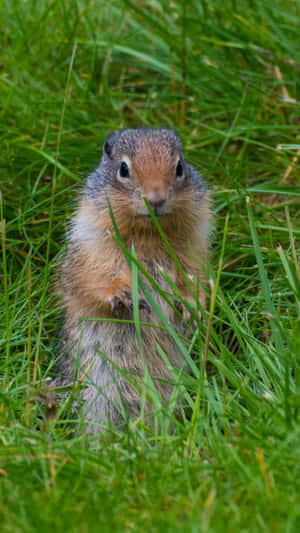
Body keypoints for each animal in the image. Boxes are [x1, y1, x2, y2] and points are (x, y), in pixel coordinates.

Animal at [56, 128, 211, 432]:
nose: (156, 199)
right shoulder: (92, 245)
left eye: (179, 167)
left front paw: (191, 304)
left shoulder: (194, 247)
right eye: (123, 169)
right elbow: (93, 279)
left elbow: (195, 278)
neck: (148, 234)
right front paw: (124, 295)